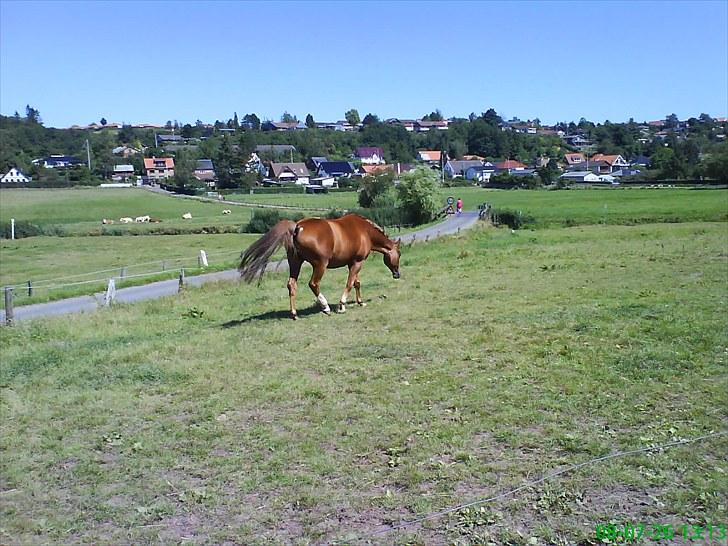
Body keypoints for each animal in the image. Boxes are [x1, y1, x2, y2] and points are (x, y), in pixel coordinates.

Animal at [239, 211, 400, 316]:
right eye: (399, 254)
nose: (397, 274)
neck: (364, 231)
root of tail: (297, 227)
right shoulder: (357, 262)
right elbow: (350, 283)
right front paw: (342, 305)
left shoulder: (352, 263)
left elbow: (356, 283)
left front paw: (360, 302)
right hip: (320, 265)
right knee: (313, 284)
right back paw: (325, 307)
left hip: (295, 263)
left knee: (291, 284)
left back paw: (294, 313)